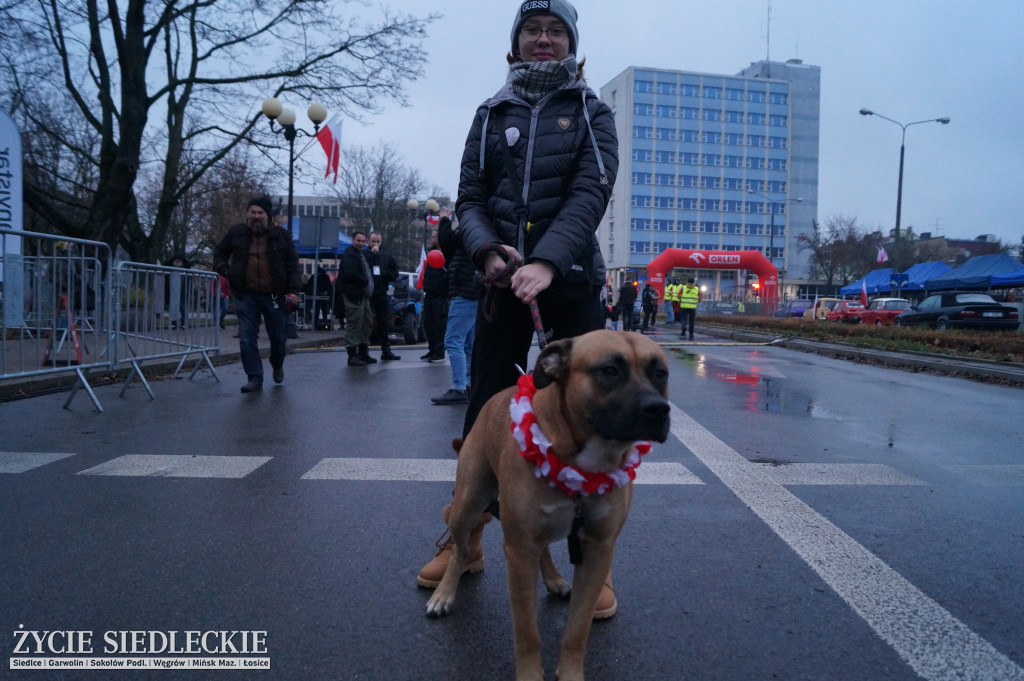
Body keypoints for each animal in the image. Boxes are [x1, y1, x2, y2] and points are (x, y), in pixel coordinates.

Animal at [423, 327, 671, 675]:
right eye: (609, 371)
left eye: (660, 373)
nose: (658, 409)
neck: (585, 458)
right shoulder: (519, 551)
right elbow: (528, 633)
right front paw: (530, 674)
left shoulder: (597, 550)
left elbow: (577, 631)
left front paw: (570, 674)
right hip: (467, 505)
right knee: (461, 549)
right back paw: (445, 593)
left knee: (541, 551)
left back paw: (553, 579)